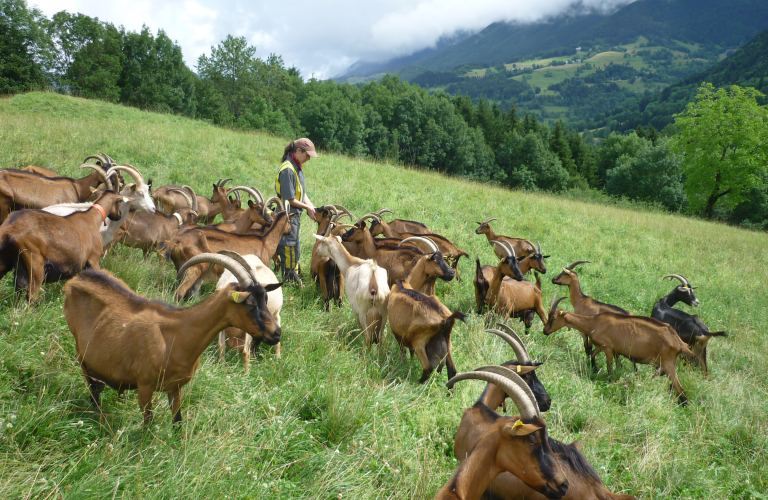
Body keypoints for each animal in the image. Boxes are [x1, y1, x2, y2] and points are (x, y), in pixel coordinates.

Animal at [63, 254, 280, 422]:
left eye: (265, 298)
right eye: (249, 302)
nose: (276, 333)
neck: (177, 334)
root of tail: (77, 279)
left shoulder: (176, 388)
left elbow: (177, 421)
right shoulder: (145, 387)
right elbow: (148, 423)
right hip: (82, 355)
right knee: (93, 390)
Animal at [544, 294, 692, 404]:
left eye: (553, 318)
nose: (545, 331)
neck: (594, 322)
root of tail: (679, 342)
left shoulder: (608, 348)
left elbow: (610, 368)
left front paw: (607, 382)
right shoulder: (605, 347)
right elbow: (593, 355)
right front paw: (595, 369)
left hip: (667, 363)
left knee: (681, 390)